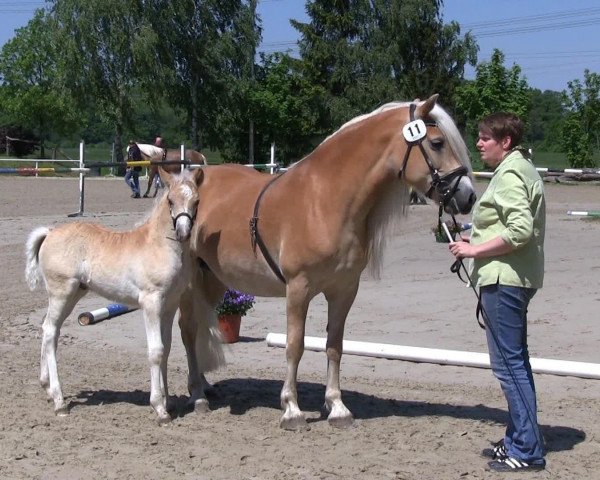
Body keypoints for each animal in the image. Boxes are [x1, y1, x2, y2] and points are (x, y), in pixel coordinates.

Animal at [25, 168, 223, 424]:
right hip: (62, 293)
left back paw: (47, 388)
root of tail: (49, 232)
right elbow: (156, 351)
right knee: (50, 332)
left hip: (74, 294)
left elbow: (167, 347)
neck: (159, 246)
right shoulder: (151, 302)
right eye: (170, 201)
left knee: (50, 329)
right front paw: (160, 409)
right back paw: (59, 402)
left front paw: (168, 401)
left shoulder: (169, 305)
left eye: (196, 201)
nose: (183, 232)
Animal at [180, 93, 476, 428]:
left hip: (214, 279)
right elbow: (295, 346)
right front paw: (292, 409)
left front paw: (337, 407)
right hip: (190, 280)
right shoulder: (298, 288)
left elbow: (335, 345)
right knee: (188, 330)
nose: (468, 196)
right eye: (437, 143)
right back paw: (197, 395)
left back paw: (205, 386)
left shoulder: (344, 290)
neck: (323, 200)